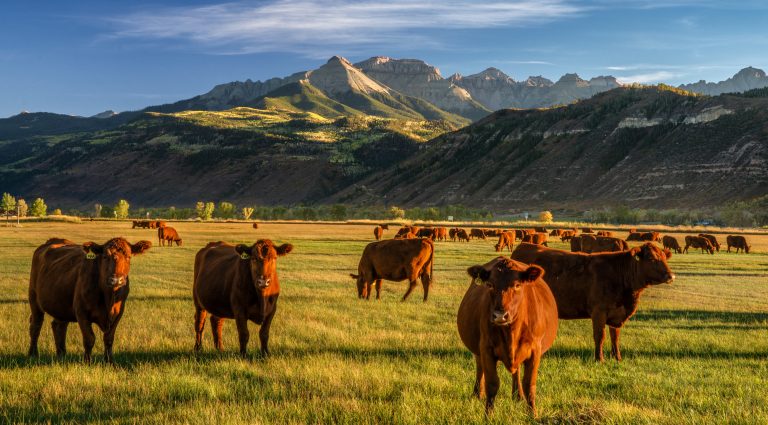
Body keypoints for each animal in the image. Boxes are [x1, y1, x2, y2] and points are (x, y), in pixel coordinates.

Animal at [457, 257, 558, 415]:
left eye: (517, 285)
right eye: (490, 285)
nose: (500, 315)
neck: (511, 332)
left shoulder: (535, 350)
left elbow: (529, 384)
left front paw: (532, 414)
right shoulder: (486, 348)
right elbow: (492, 384)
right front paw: (488, 415)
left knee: (516, 372)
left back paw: (518, 396)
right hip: (478, 350)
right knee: (480, 368)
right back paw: (477, 393)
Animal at [511, 242, 674, 362]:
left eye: (664, 258)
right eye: (652, 258)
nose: (671, 276)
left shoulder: (616, 313)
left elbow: (615, 337)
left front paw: (617, 357)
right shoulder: (599, 312)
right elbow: (600, 336)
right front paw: (599, 359)